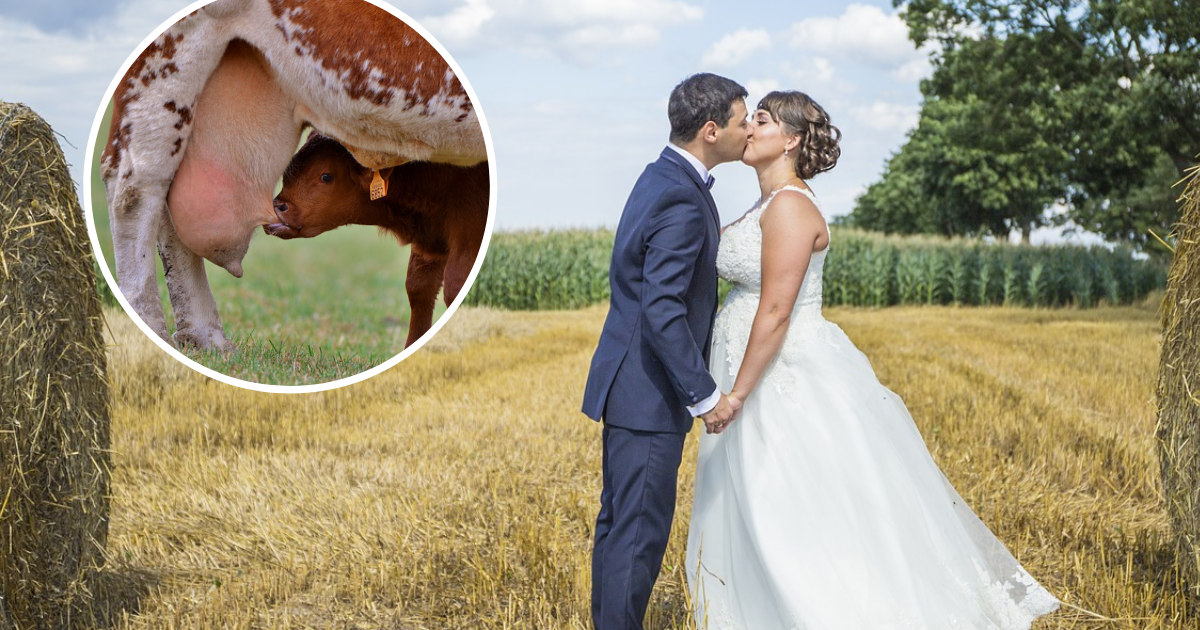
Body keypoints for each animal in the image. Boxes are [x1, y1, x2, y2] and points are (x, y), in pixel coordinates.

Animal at [271, 134, 487, 345]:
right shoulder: (428, 244)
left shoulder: (469, 228)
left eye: (326, 176)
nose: (277, 207)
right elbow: (419, 287)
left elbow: (455, 285)